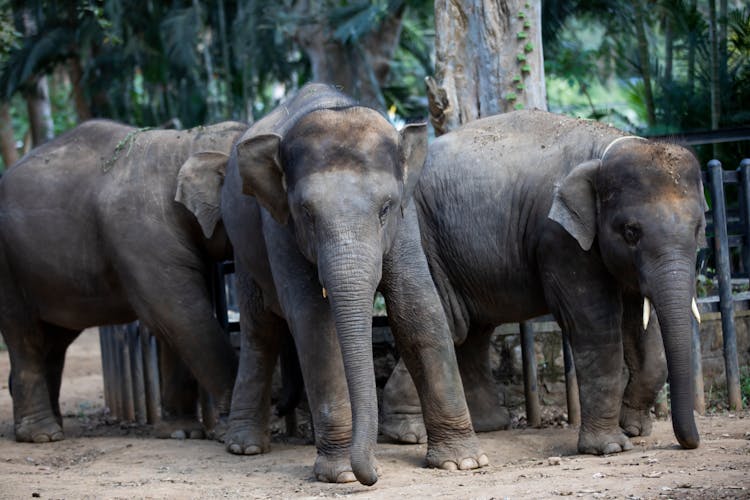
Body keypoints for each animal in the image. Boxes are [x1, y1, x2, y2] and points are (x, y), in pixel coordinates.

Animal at [0, 119, 247, 444]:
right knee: (24, 334)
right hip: (7, 265)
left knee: (55, 340)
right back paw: (42, 436)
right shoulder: (141, 233)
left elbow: (177, 321)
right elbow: (178, 313)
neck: (188, 143)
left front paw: (181, 432)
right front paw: (227, 430)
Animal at [207, 84, 488, 486]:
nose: (373, 474)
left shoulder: (407, 218)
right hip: (244, 249)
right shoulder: (278, 224)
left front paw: (462, 463)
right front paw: (340, 474)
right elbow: (314, 322)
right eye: (306, 213)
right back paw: (244, 447)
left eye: (386, 208)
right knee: (260, 330)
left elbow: (417, 305)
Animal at [384, 109, 708, 458]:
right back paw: (408, 434)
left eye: (698, 228)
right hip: (422, 241)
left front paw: (634, 429)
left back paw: (490, 425)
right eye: (631, 231)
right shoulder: (558, 237)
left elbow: (641, 326)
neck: (606, 148)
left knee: (474, 329)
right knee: (451, 323)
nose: (689, 444)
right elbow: (595, 323)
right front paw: (609, 446)